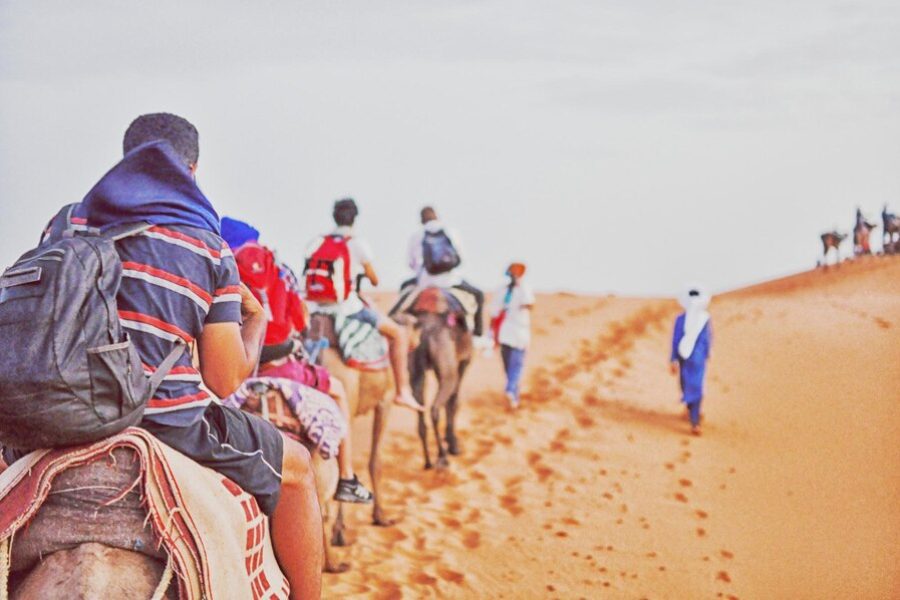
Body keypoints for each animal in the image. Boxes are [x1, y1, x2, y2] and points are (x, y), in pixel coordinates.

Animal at [410, 288, 478, 472]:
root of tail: (424, 329)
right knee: (435, 408)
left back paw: (427, 462)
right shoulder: (463, 362)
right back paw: (442, 458)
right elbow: (454, 402)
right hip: (448, 366)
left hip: (415, 364)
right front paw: (453, 444)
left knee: (420, 407)